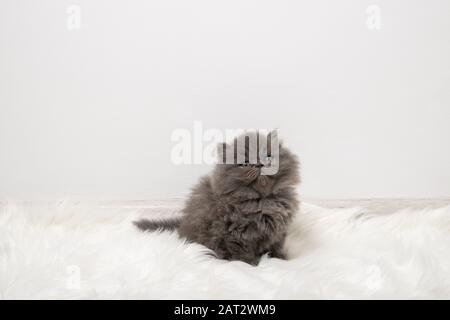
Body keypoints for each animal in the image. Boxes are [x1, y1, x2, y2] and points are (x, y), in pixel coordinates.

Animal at [135, 130, 300, 264]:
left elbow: (276, 246)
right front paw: (248, 264)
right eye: (245, 163)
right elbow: (242, 252)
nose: (259, 164)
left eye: (268, 156)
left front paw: (280, 259)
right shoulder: (236, 233)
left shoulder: (278, 230)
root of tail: (182, 224)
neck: (263, 200)